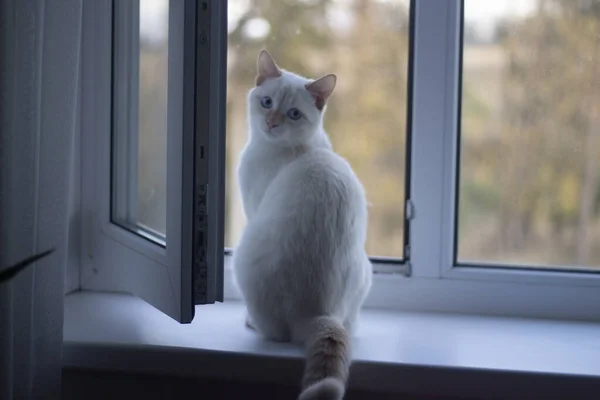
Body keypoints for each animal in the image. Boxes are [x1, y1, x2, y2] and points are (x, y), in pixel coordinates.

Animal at [233, 50, 370, 400]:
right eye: (266, 102)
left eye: (293, 114)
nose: (271, 122)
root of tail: (317, 313)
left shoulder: (252, 206)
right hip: (367, 271)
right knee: (351, 324)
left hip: (241, 255)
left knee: (273, 332)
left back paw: (251, 322)